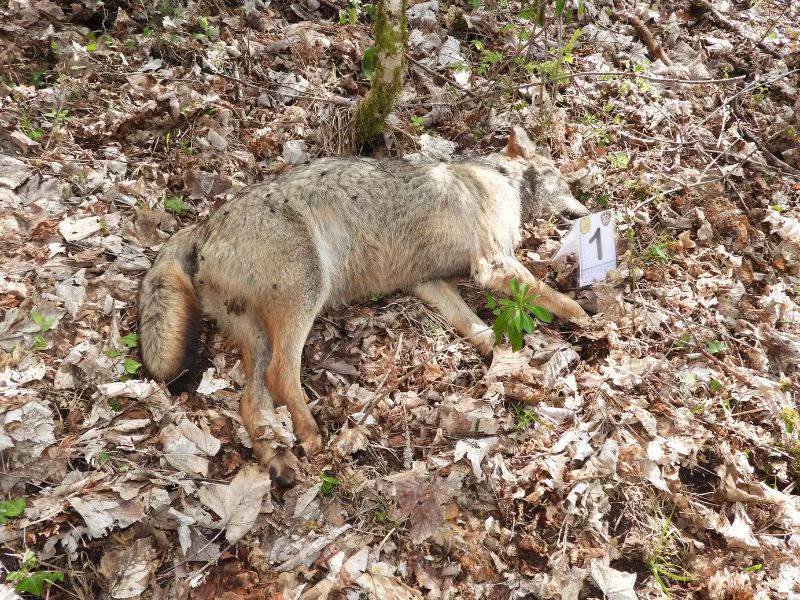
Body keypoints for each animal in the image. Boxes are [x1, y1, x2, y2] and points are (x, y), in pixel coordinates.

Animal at [138, 127, 589, 483]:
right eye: (565, 183)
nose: (586, 212)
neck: (500, 180)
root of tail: (205, 222)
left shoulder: (429, 283)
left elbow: (476, 327)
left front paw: (505, 361)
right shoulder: (492, 265)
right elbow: (553, 296)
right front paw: (587, 319)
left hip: (260, 334)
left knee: (253, 400)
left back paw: (278, 460)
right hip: (307, 295)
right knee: (281, 376)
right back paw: (310, 435)